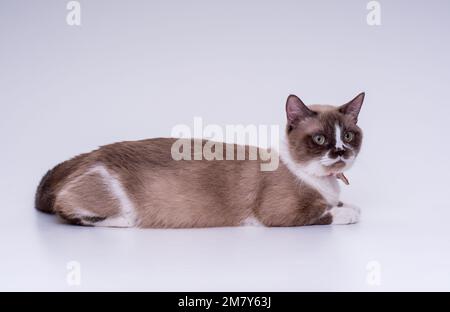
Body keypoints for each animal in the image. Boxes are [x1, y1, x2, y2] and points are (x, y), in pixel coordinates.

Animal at [36, 92, 366, 227]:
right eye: (320, 139)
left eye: (349, 136)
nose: (340, 151)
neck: (323, 183)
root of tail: (91, 154)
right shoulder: (281, 213)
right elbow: (332, 212)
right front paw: (348, 212)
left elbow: (341, 204)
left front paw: (346, 204)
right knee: (68, 210)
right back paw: (127, 221)